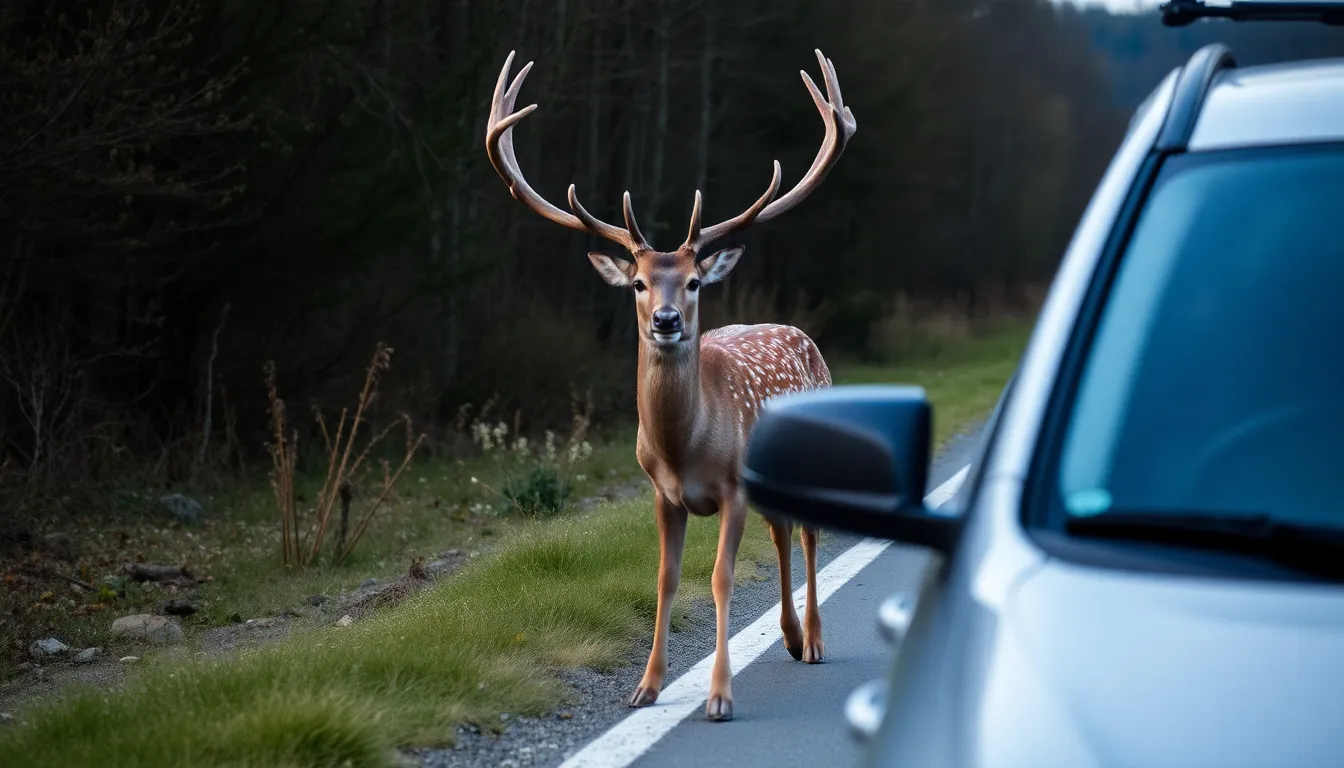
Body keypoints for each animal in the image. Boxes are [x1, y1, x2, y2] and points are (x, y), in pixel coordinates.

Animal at [484, 48, 855, 722]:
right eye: (637, 282)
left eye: (694, 281)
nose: (665, 320)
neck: (686, 446)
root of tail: (802, 336)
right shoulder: (661, 492)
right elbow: (667, 578)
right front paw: (647, 686)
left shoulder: (733, 486)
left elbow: (721, 578)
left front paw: (719, 695)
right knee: (783, 533)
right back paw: (790, 636)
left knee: (809, 532)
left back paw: (813, 641)